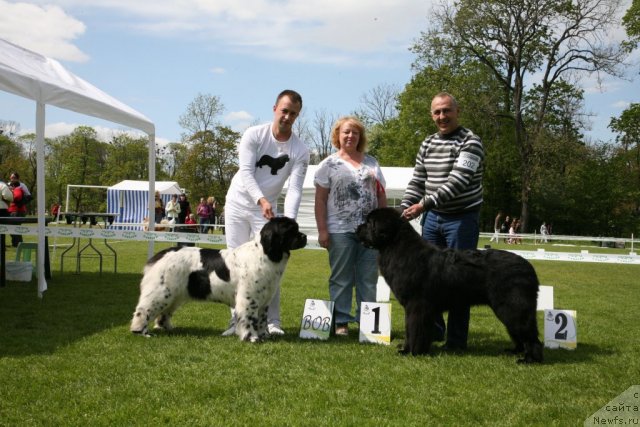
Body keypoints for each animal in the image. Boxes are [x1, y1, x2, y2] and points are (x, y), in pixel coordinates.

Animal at [130, 217, 304, 342]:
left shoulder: (264, 300)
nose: (304, 236)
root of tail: (160, 256)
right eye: (291, 230)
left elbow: (261, 320)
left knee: (164, 313)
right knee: (143, 310)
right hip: (161, 291)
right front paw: (252, 338)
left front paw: (265, 336)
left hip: (175, 294)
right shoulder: (249, 299)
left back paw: (167, 328)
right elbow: (249, 319)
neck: (265, 254)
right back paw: (141, 332)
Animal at [358, 208, 544, 364]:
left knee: (530, 335)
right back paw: (515, 351)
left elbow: (414, 328)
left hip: (513, 307)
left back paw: (529, 359)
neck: (397, 246)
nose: (357, 228)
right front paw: (413, 349)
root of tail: (529, 268)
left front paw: (411, 352)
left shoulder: (416, 305)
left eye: (369, 222)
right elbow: (414, 330)